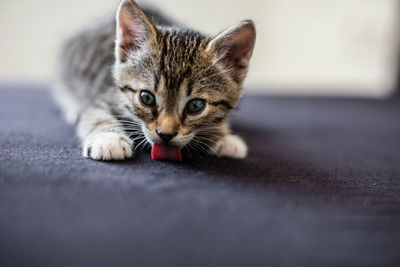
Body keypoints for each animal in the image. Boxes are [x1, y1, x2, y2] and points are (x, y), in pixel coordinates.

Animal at [53, 0, 256, 161]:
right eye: (147, 98)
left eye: (196, 106)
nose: (165, 135)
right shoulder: (106, 95)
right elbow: (95, 114)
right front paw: (108, 139)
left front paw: (223, 137)